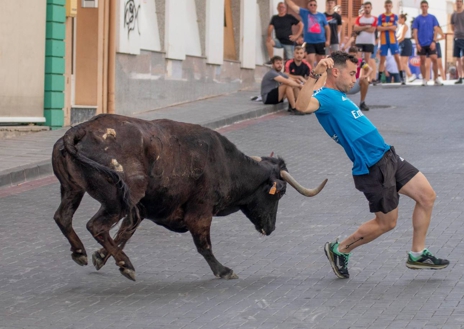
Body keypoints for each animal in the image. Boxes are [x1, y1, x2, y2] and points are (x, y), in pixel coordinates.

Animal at [52, 114, 326, 280]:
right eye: (280, 193)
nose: (271, 228)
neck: (225, 163)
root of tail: (82, 129)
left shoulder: (139, 210)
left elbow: (123, 234)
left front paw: (100, 257)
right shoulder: (200, 212)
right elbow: (204, 245)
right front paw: (224, 270)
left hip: (73, 190)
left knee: (63, 217)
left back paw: (81, 252)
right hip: (115, 200)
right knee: (95, 226)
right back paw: (126, 264)